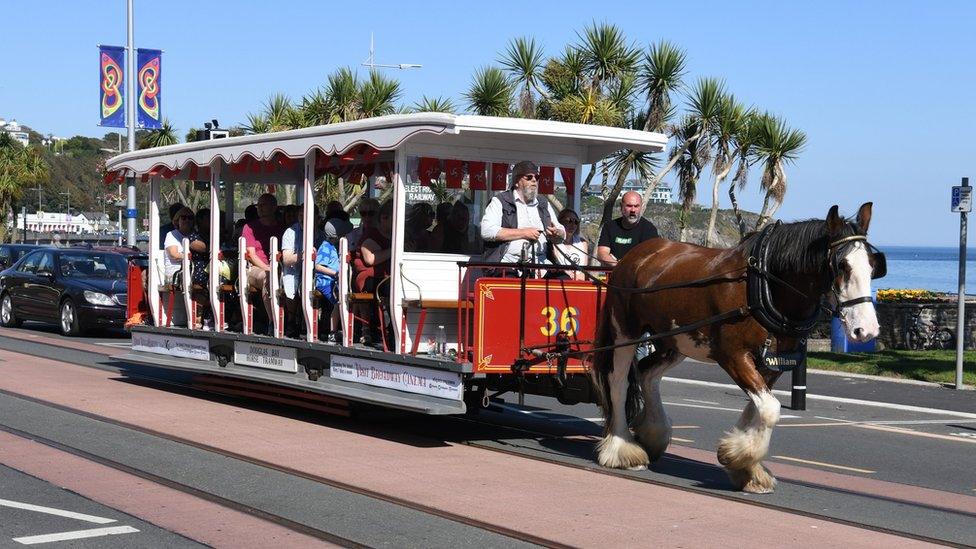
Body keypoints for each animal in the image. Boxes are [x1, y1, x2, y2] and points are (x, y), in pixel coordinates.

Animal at [592, 202, 880, 492]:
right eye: (842, 265)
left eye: (872, 265)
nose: (866, 330)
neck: (764, 286)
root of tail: (637, 255)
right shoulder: (733, 356)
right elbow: (769, 409)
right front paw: (742, 458)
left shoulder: (774, 362)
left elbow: (759, 407)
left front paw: (745, 466)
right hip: (624, 331)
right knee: (619, 382)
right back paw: (621, 448)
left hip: (675, 340)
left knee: (647, 372)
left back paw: (653, 435)